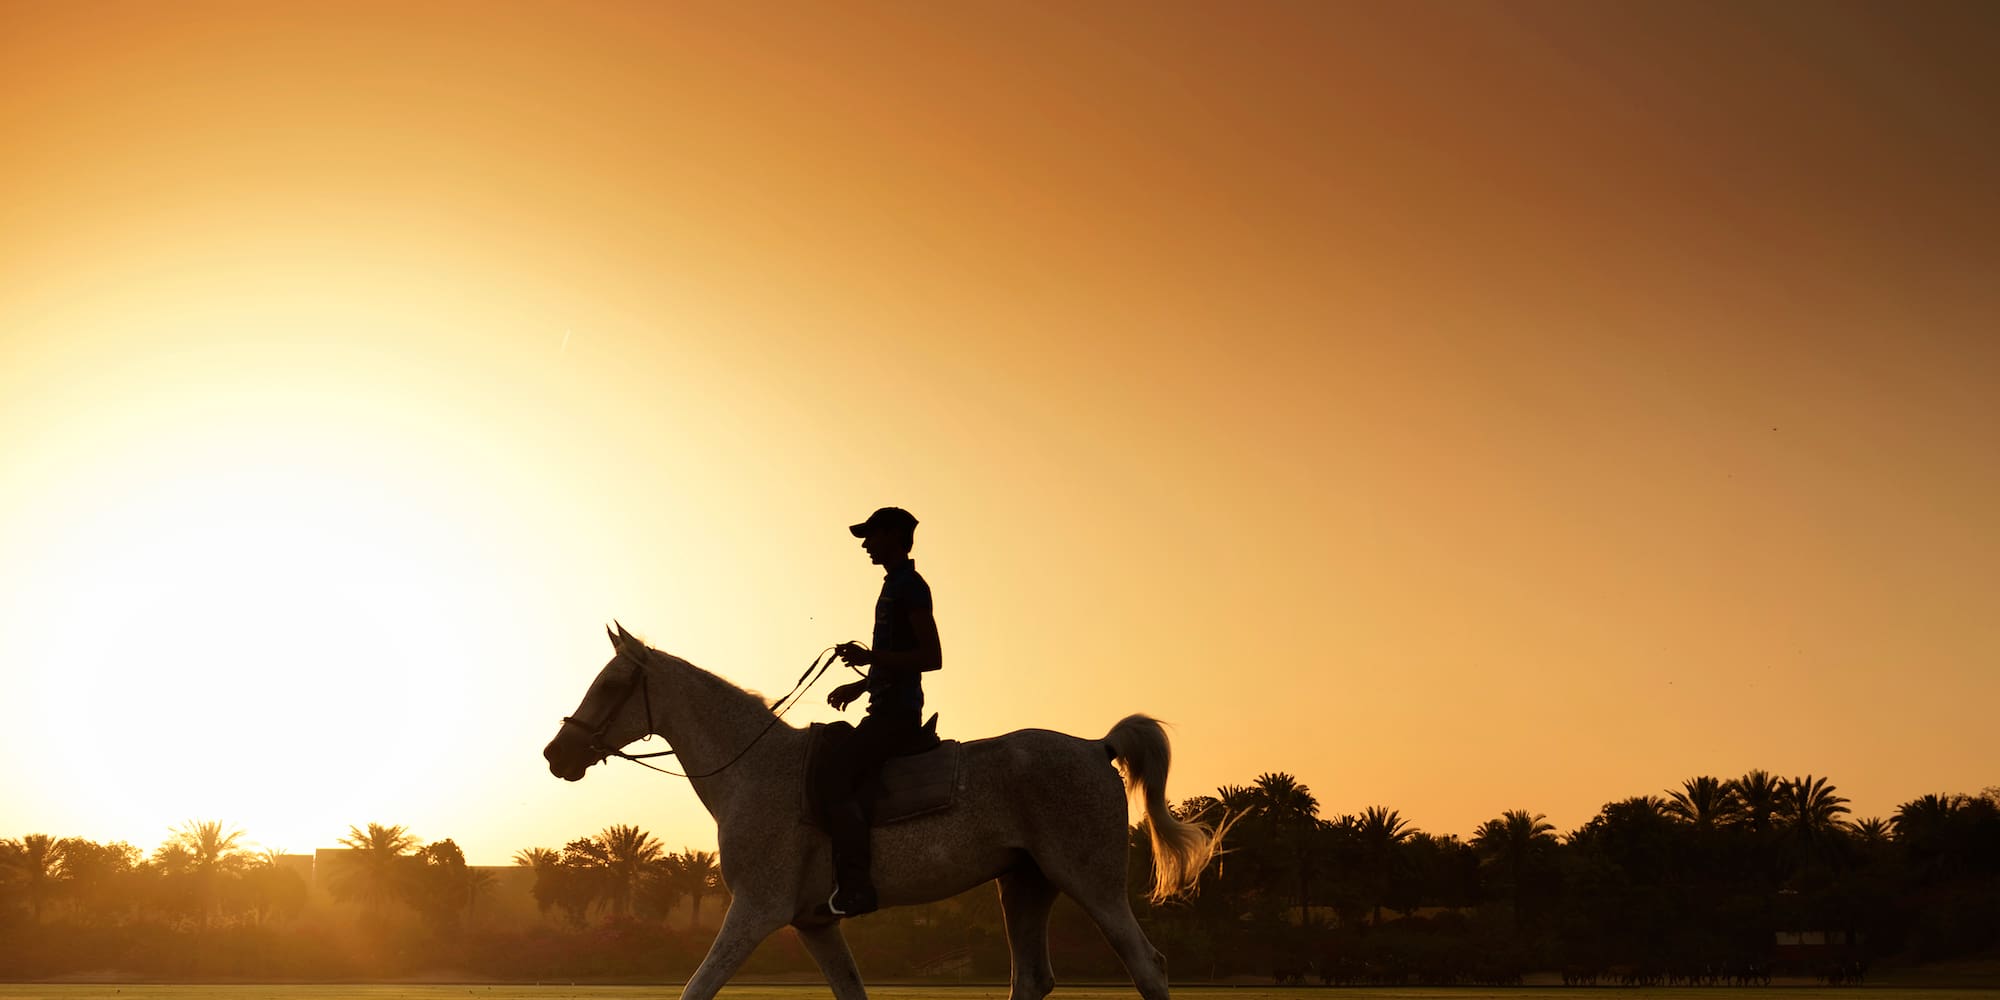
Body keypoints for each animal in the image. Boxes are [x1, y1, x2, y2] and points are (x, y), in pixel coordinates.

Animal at [543, 623, 1220, 1000]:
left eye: (610, 686)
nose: (557, 755)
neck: (751, 770)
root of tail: (1095, 746)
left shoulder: (756, 911)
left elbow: (696, 988)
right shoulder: (814, 922)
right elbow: (851, 990)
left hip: (1090, 884)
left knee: (1148, 968)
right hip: (1024, 885)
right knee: (1032, 980)